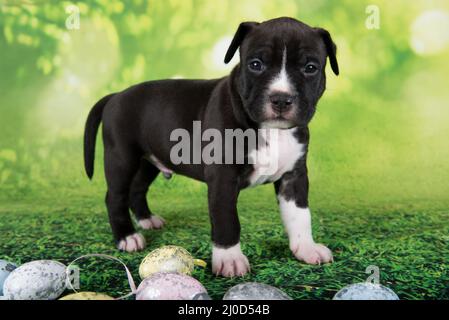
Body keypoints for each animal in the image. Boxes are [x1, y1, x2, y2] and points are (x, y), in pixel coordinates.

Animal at [84, 16, 338, 278]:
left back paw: (146, 219)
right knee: (115, 196)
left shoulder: (293, 177)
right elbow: (227, 219)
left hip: (149, 160)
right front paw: (229, 259)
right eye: (255, 64)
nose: (280, 99)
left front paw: (306, 248)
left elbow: (300, 214)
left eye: (311, 68)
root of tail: (116, 95)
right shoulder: (223, 179)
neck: (271, 130)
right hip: (121, 157)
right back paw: (127, 236)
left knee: (137, 188)